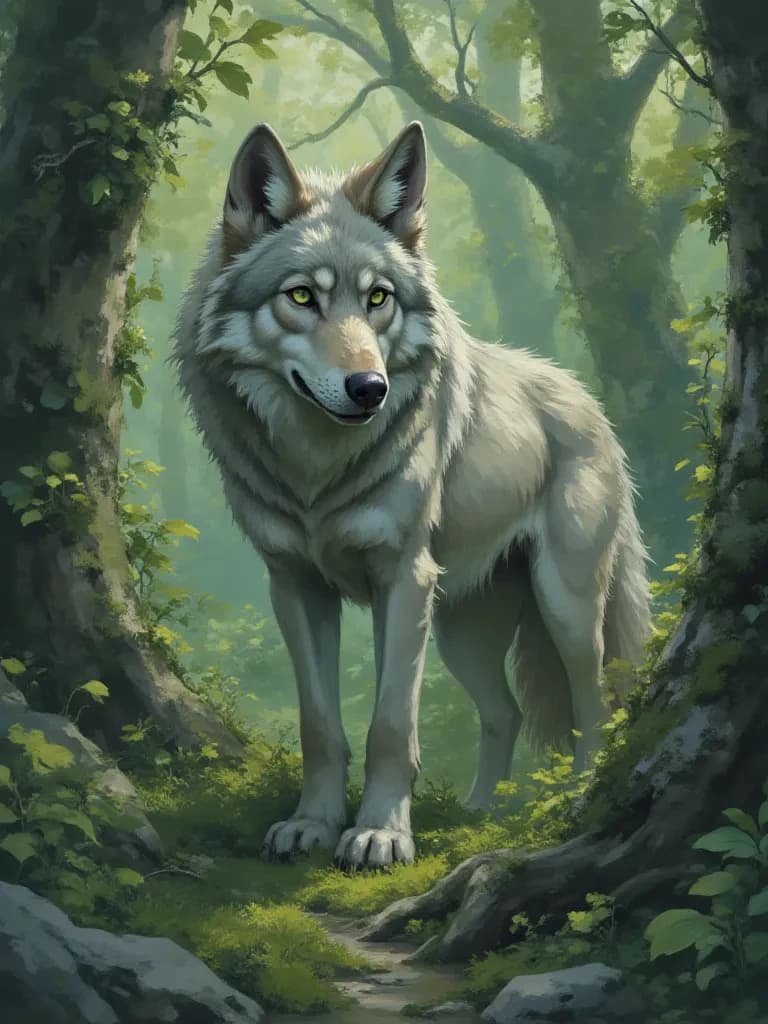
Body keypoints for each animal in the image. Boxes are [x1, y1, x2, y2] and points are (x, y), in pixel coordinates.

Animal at [174, 119, 651, 869]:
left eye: (378, 298)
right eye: (302, 297)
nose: (369, 388)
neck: (317, 472)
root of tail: (587, 403)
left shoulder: (402, 580)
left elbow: (391, 726)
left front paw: (380, 835)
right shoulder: (295, 586)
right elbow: (319, 724)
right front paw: (312, 824)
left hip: (565, 606)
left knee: (595, 703)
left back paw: (576, 803)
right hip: (460, 628)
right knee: (507, 712)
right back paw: (479, 813)